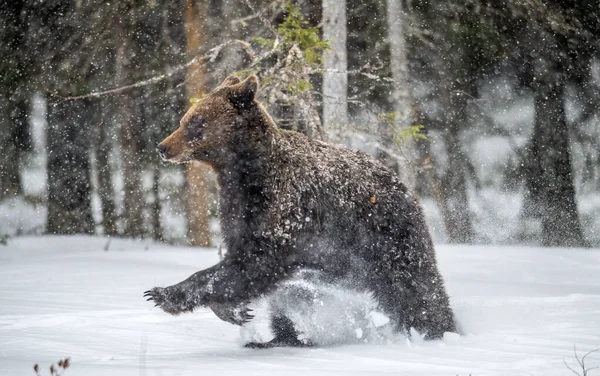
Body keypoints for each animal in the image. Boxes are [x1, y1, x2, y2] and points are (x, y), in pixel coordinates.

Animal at [144, 74, 454, 346]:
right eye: (184, 119)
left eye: (195, 122)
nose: (162, 146)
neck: (245, 173)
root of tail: (405, 186)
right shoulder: (238, 210)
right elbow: (240, 261)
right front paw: (236, 311)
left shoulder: (285, 214)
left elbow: (252, 262)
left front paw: (162, 293)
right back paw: (278, 339)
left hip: (386, 236)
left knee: (414, 287)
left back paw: (436, 331)